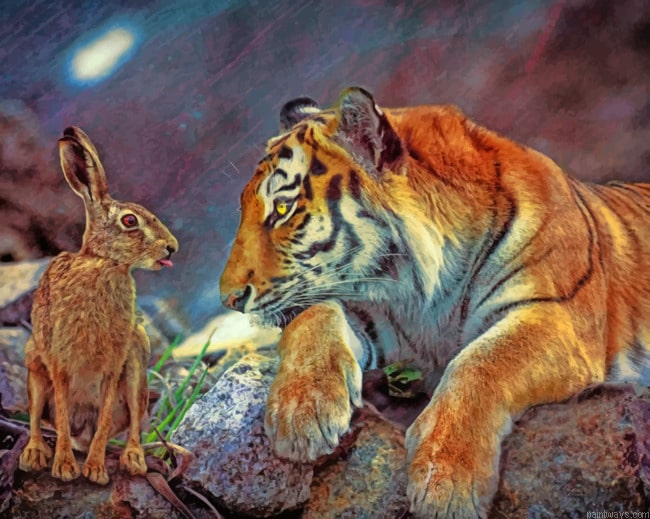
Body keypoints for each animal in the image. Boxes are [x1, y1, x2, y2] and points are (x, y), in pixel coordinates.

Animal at [18, 126, 179, 485]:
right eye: (130, 221)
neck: (104, 263)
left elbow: (104, 419)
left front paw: (94, 471)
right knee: (39, 419)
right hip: (34, 364)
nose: (172, 247)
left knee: (129, 423)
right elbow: (62, 416)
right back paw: (34, 455)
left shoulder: (114, 365)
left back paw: (133, 460)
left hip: (136, 369)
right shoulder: (58, 362)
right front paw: (65, 468)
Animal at [219, 86, 650, 518]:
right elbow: (314, 313)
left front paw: (445, 481)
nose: (230, 298)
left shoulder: (556, 312)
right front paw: (301, 409)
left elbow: (483, 361)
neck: (425, 289)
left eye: (282, 209)